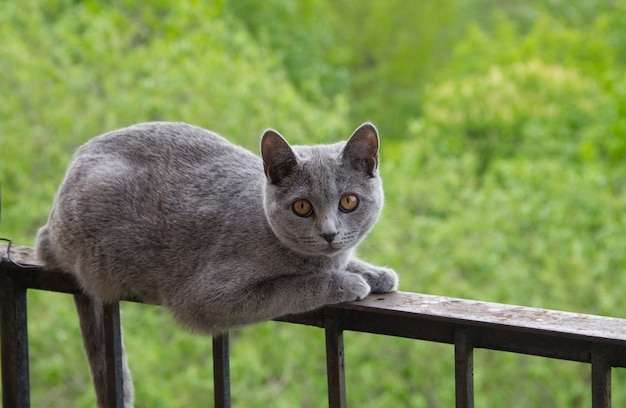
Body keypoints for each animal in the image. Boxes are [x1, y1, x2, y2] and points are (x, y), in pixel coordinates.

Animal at [35, 120, 394, 404]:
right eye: (302, 207)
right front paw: (348, 282)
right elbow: (294, 285)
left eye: (349, 202)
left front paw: (376, 274)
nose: (329, 233)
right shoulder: (205, 297)